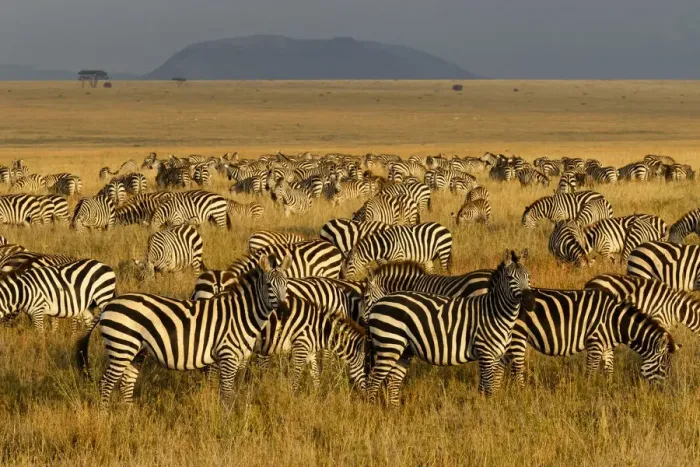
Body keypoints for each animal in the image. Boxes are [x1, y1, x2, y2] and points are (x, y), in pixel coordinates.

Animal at [76, 254, 292, 406]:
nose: (284, 310)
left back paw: (128, 416)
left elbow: (231, 389)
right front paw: (227, 421)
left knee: (126, 382)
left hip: (136, 351)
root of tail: (109, 304)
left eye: (286, 284)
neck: (241, 313)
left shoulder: (238, 358)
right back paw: (105, 417)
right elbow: (227, 392)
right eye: (268, 285)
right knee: (106, 383)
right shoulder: (228, 355)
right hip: (122, 346)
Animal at [365, 250, 530, 406]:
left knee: (392, 379)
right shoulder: (486, 354)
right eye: (510, 277)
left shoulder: (494, 356)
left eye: (528, 276)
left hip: (402, 349)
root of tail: (380, 303)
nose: (528, 298)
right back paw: (372, 409)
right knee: (374, 381)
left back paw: (394, 410)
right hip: (389, 344)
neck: (496, 312)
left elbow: (486, 387)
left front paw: (484, 405)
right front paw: (487, 409)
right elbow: (488, 388)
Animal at [506, 287, 680, 387]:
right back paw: (521, 393)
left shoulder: (607, 346)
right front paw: (588, 392)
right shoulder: (595, 343)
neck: (615, 322)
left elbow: (609, 370)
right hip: (518, 335)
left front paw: (608, 390)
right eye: (663, 367)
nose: (664, 392)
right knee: (517, 368)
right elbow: (591, 372)